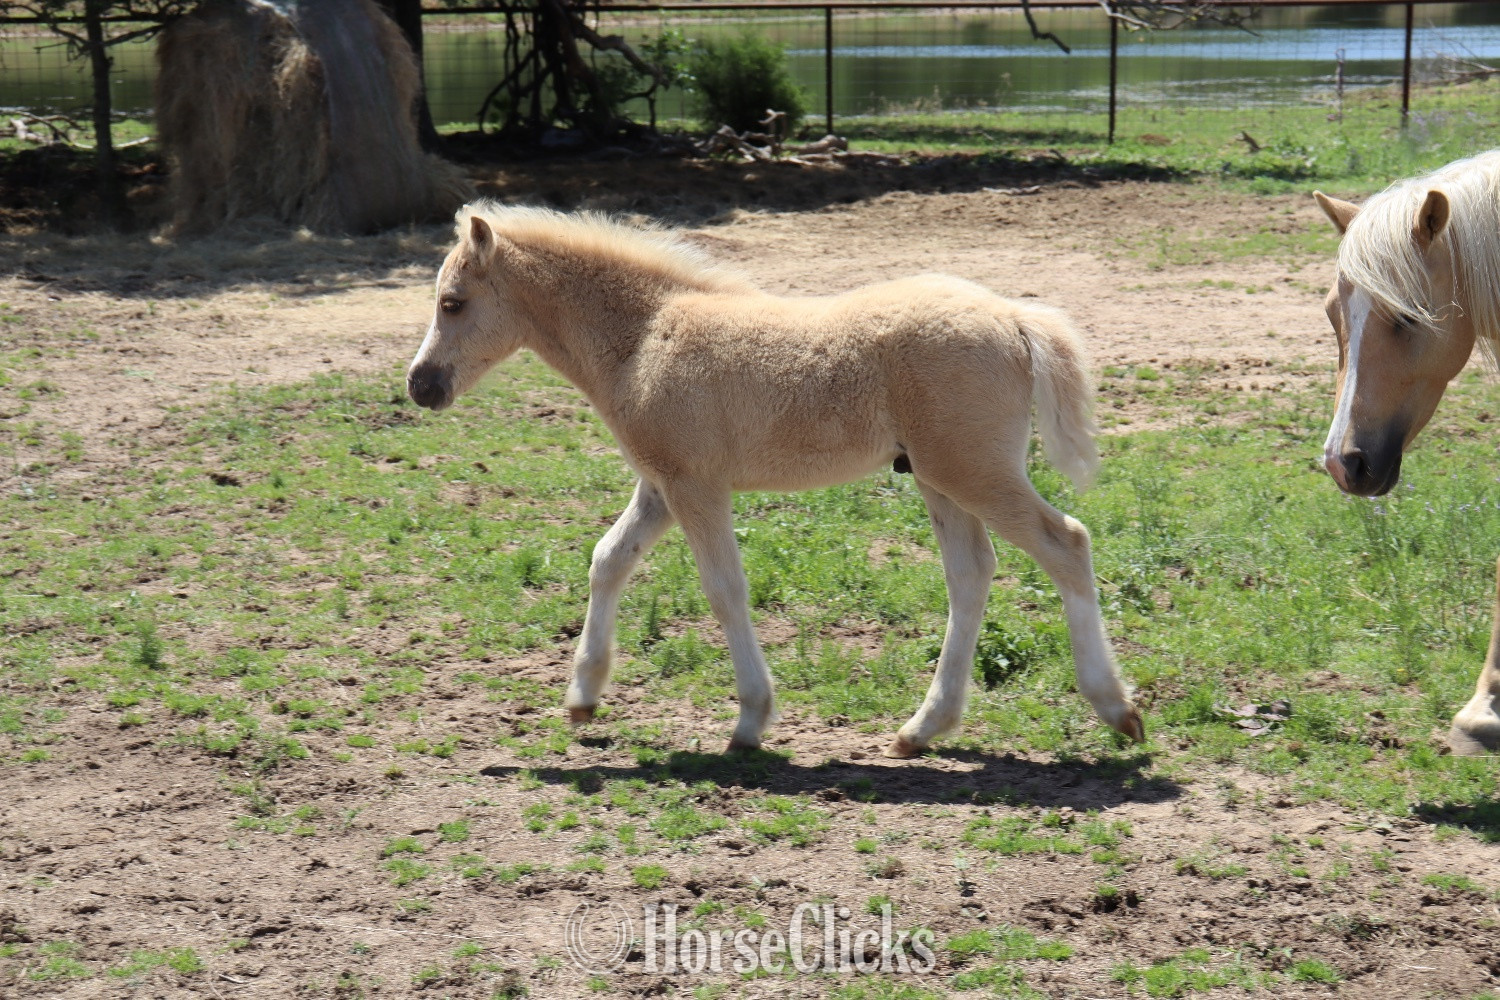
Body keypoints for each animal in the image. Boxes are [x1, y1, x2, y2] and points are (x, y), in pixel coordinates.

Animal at [406, 203, 1143, 757]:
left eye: (453, 302)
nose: (421, 386)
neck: (643, 337)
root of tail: (1017, 317)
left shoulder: (696, 486)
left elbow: (724, 589)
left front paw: (751, 721)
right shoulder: (661, 485)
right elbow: (608, 559)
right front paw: (583, 696)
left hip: (974, 471)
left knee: (1066, 543)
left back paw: (1115, 708)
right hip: (940, 478)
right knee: (971, 575)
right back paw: (923, 728)